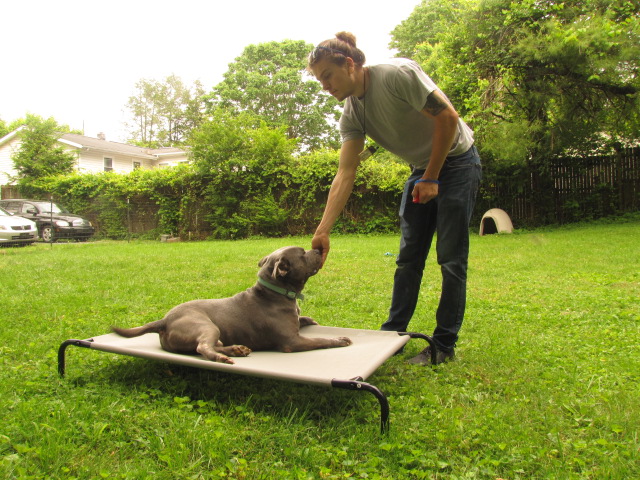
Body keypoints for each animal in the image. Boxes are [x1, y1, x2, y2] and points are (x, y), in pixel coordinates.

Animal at [112, 248, 352, 364]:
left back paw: (236, 349)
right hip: (206, 326)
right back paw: (224, 357)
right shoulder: (293, 341)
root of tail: (164, 320)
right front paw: (339, 340)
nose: (318, 250)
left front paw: (308, 319)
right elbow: (320, 341)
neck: (274, 291)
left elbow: (303, 319)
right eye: (302, 254)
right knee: (203, 347)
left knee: (208, 346)